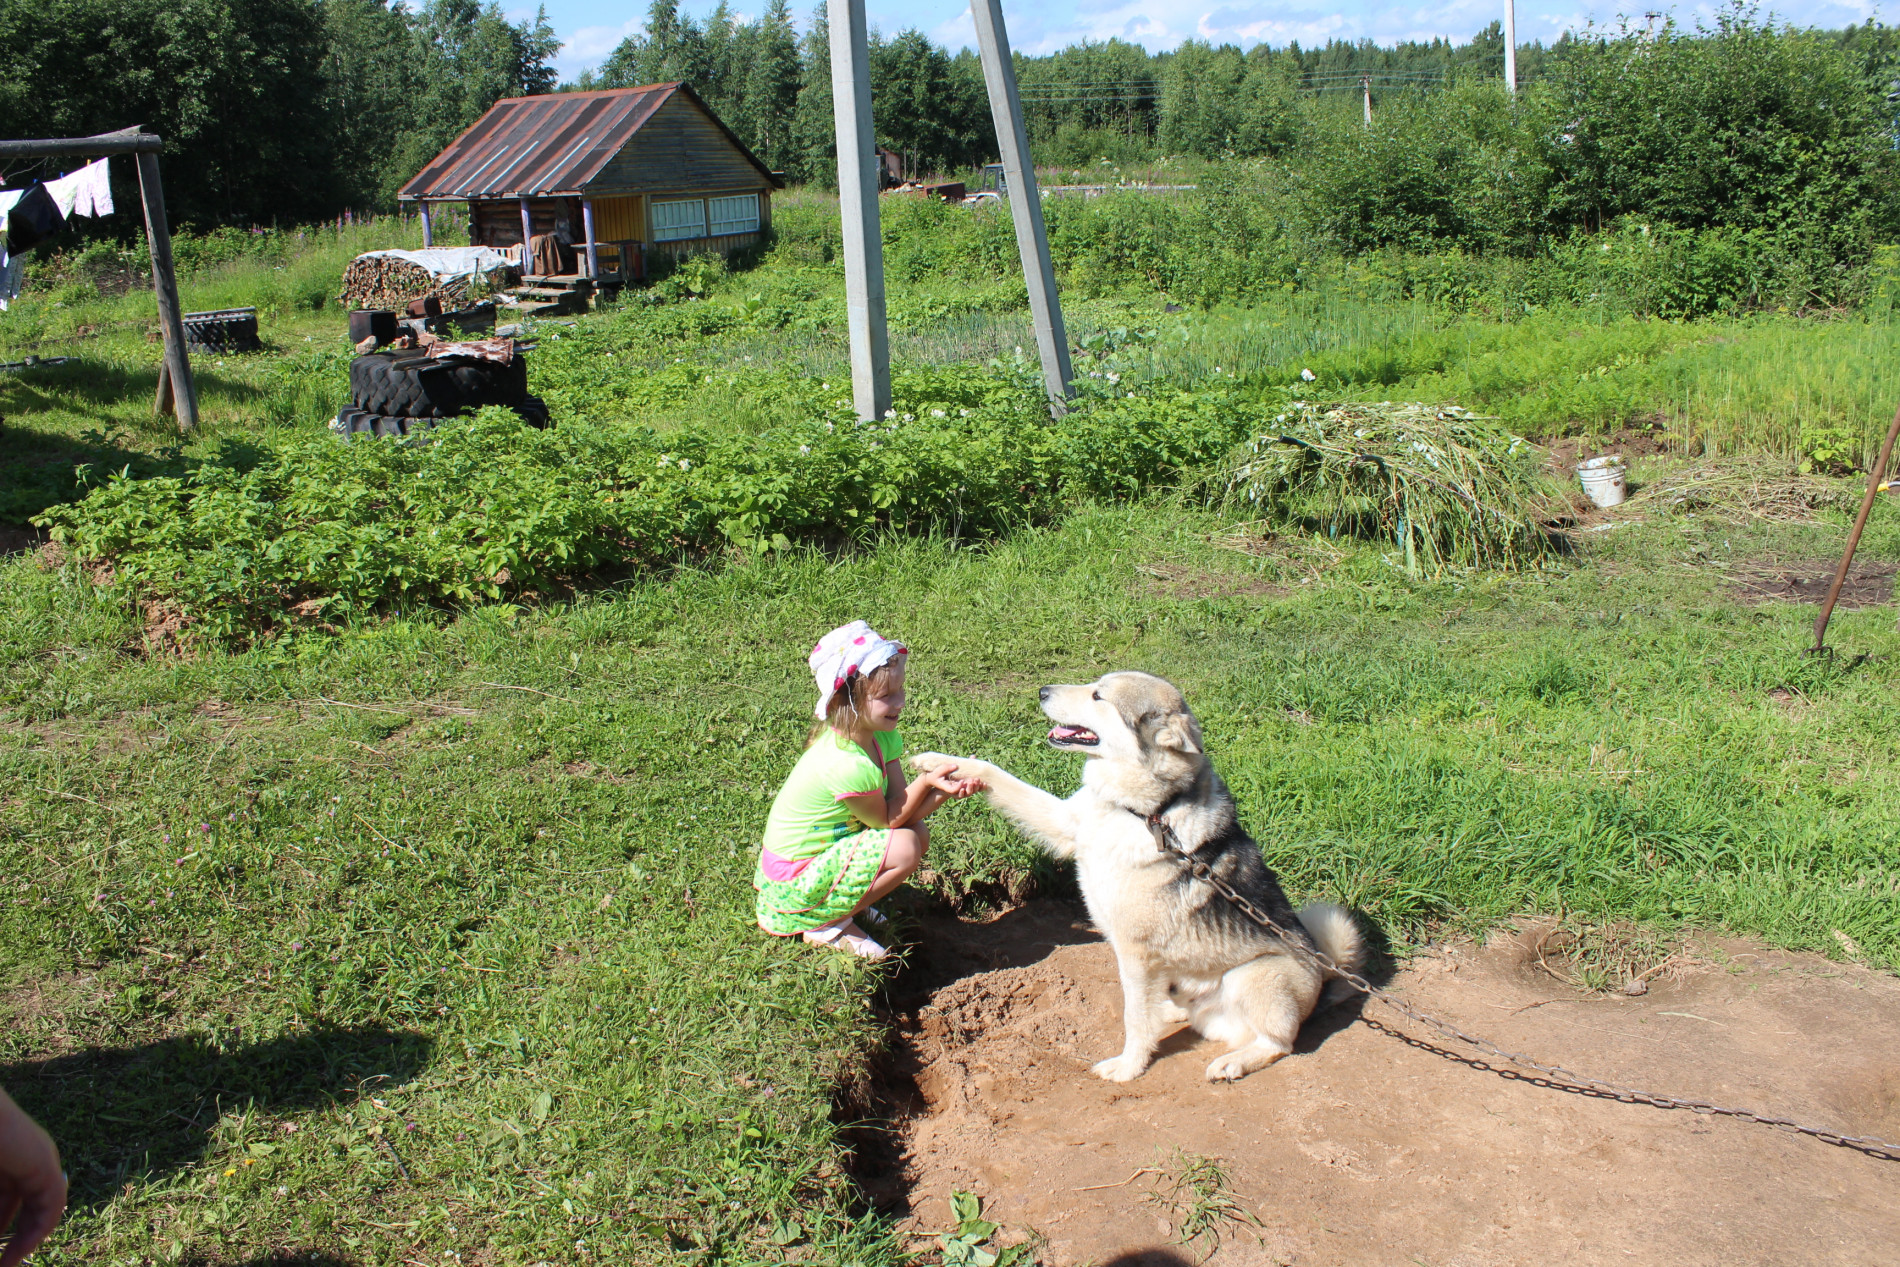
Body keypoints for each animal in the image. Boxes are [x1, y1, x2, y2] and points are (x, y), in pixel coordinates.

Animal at [912, 668, 1360, 1086]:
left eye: (1098, 695)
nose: (1041, 691)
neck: (1141, 813)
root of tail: (1326, 973)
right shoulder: (1066, 822)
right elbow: (996, 773)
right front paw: (938, 762)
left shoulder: (1135, 952)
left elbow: (1134, 1019)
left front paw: (1128, 1067)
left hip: (1252, 976)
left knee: (1279, 1042)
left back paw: (1232, 1061)